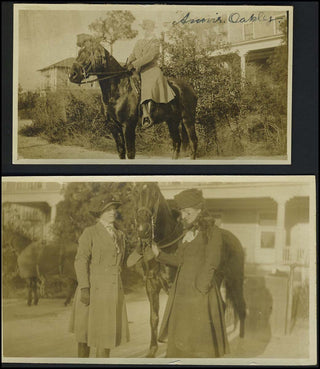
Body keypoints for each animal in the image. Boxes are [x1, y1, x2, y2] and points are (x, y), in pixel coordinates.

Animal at [69, 36, 198, 159]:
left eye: (88, 53)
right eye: (79, 52)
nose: (72, 75)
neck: (118, 90)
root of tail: (190, 87)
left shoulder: (128, 125)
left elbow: (130, 153)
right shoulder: (113, 126)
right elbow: (121, 152)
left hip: (187, 119)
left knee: (193, 142)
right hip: (172, 121)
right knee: (177, 142)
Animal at [129, 183, 246, 356]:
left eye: (154, 194)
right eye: (135, 192)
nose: (143, 229)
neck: (168, 243)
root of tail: (234, 239)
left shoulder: (172, 286)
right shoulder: (151, 286)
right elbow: (154, 318)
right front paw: (152, 350)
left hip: (235, 280)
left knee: (242, 309)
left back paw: (240, 346)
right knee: (223, 306)